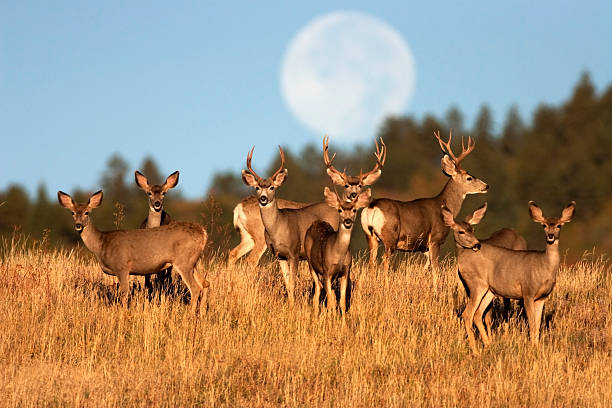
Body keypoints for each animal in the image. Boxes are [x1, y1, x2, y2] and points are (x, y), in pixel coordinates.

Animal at [58, 189, 210, 312]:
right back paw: (202, 314)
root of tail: (203, 232)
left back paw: (189, 315)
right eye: (72, 212)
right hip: (192, 262)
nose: (78, 225)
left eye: (86, 212)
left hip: (183, 261)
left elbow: (124, 293)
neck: (102, 244)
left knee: (195, 288)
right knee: (205, 284)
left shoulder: (122, 267)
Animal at [227, 135, 384, 266]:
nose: (353, 195)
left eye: (361, 185)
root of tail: (239, 207)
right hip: (259, 235)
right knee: (251, 259)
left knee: (233, 253)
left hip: (247, 236)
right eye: (346, 185)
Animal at [304, 187, 370, 318]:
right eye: (340, 210)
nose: (347, 220)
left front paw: (342, 322)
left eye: (354, 210)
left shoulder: (345, 271)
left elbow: (342, 303)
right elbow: (330, 302)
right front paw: (330, 321)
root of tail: (315, 223)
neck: (339, 254)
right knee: (318, 288)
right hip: (310, 262)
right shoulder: (327, 271)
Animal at [364, 129, 488, 272]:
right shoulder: (435, 239)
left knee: (371, 261)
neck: (443, 205)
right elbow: (435, 268)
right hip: (390, 236)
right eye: (469, 178)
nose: (486, 186)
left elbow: (425, 268)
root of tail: (373, 206)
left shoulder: (424, 247)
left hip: (371, 237)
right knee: (385, 258)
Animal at [442, 199, 576, 352]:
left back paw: (489, 345)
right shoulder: (527, 292)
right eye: (544, 225)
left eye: (559, 225)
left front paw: (536, 347)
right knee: (467, 314)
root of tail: (462, 256)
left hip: (489, 290)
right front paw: (532, 348)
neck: (544, 268)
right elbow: (532, 324)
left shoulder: (543, 297)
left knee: (478, 313)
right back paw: (476, 351)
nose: (551, 236)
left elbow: (538, 325)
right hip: (477, 284)